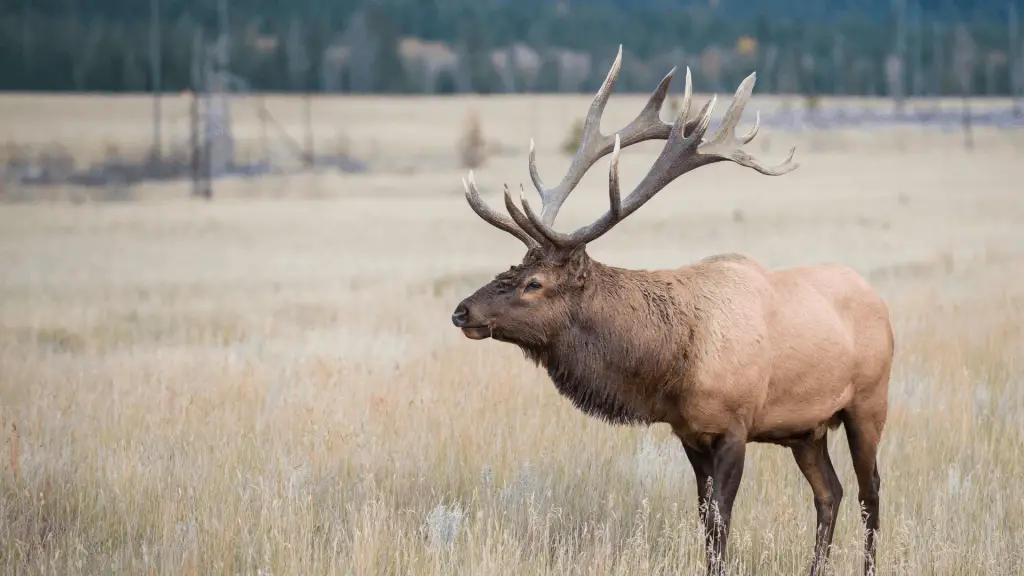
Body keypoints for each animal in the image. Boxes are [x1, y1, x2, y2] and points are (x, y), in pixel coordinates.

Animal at [452, 45, 892, 573]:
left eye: (533, 283)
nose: (462, 311)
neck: (675, 362)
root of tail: (878, 300)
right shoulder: (688, 433)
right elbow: (704, 521)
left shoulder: (735, 426)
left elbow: (721, 523)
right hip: (807, 429)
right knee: (831, 492)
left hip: (868, 401)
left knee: (871, 492)